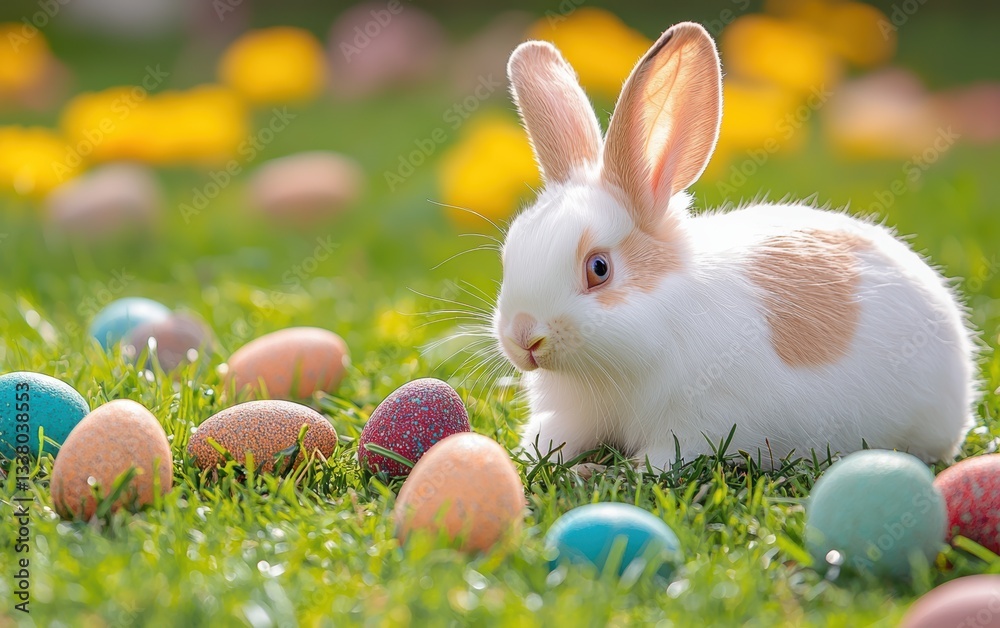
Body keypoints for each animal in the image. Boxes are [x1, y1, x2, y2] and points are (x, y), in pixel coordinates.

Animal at [493, 21, 978, 469]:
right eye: (509, 252)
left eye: (598, 269)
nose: (523, 336)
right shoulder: (573, 416)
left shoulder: (692, 426)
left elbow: (660, 460)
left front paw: (609, 471)